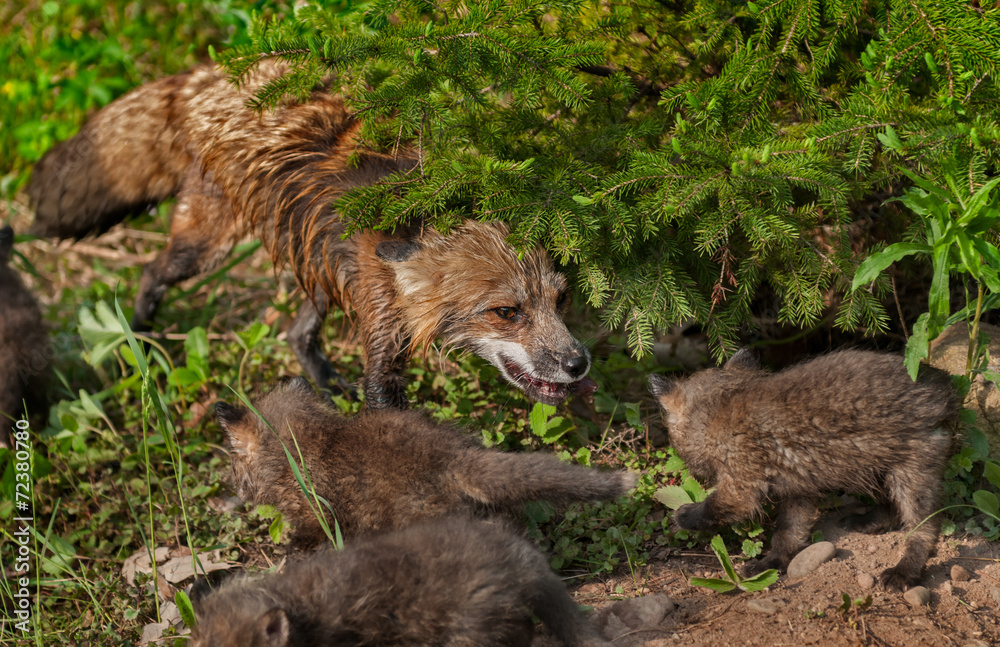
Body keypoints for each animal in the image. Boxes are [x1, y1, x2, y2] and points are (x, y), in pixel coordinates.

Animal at [29, 64, 592, 410]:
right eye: (506, 312)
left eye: (560, 299)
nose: (578, 363)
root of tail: (214, 72)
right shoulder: (382, 339)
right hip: (206, 247)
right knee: (151, 271)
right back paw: (137, 339)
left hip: (317, 261)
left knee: (296, 333)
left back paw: (322, 381)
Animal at [648, 350, 960, 592]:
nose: (693, 472)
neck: (718, 407)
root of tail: (940, 387)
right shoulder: (799, 489)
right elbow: (790, 532)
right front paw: (772, 564)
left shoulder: (741, 485)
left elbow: (714, 506)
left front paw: (684, 516)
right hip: (878, 465)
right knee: (893, 505)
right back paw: (870, 521)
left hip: (913, 470)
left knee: (925, 527)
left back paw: (905, 571)